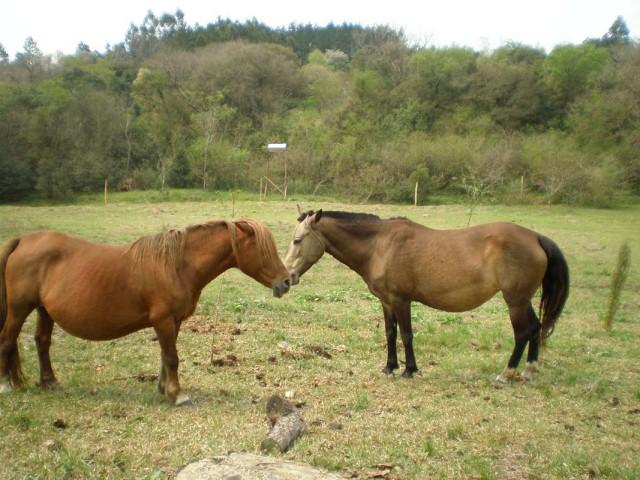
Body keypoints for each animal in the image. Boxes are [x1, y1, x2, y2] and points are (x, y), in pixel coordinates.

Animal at [0, 219, 290, 404]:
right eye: (263, 251)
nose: (287, 281)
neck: (176, 266)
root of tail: (22, 241)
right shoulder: (163, 320)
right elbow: (171, 357)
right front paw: (177, 394)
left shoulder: (174, 321)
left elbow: (166, 355)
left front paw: (163, 388)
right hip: (19, 309)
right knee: (7, 340)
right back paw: (5, 385)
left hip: (44, 310)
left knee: (42, 342)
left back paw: (49, 382)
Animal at [284, 209, 568, 382]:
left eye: (298, 240)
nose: (287, 277)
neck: (380, 245)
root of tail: (536, 237)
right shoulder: (386, 301)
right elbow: (390, 333)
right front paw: (390, 366)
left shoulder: (401, 300)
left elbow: (406, 334)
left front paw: (409, 369)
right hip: (522, 300)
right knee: (535, 328)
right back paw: (529, 370)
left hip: (515, 302)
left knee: (522, 332)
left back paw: (507, 374)